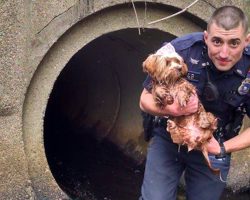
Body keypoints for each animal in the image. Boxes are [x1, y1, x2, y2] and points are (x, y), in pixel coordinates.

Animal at [143, 44, 219, 174]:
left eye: (178, 61)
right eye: (167, 62)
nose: (179, 68)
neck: (171, 81)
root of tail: (199, 141)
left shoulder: (187, 86)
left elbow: (183, 88)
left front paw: (182, 98)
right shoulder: (157, 88)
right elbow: (157, 90)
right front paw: (163, 94)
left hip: (208, 118)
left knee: (210, 123)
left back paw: (205, 121)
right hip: (182, 135)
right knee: (177, 137)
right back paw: (172, 126)